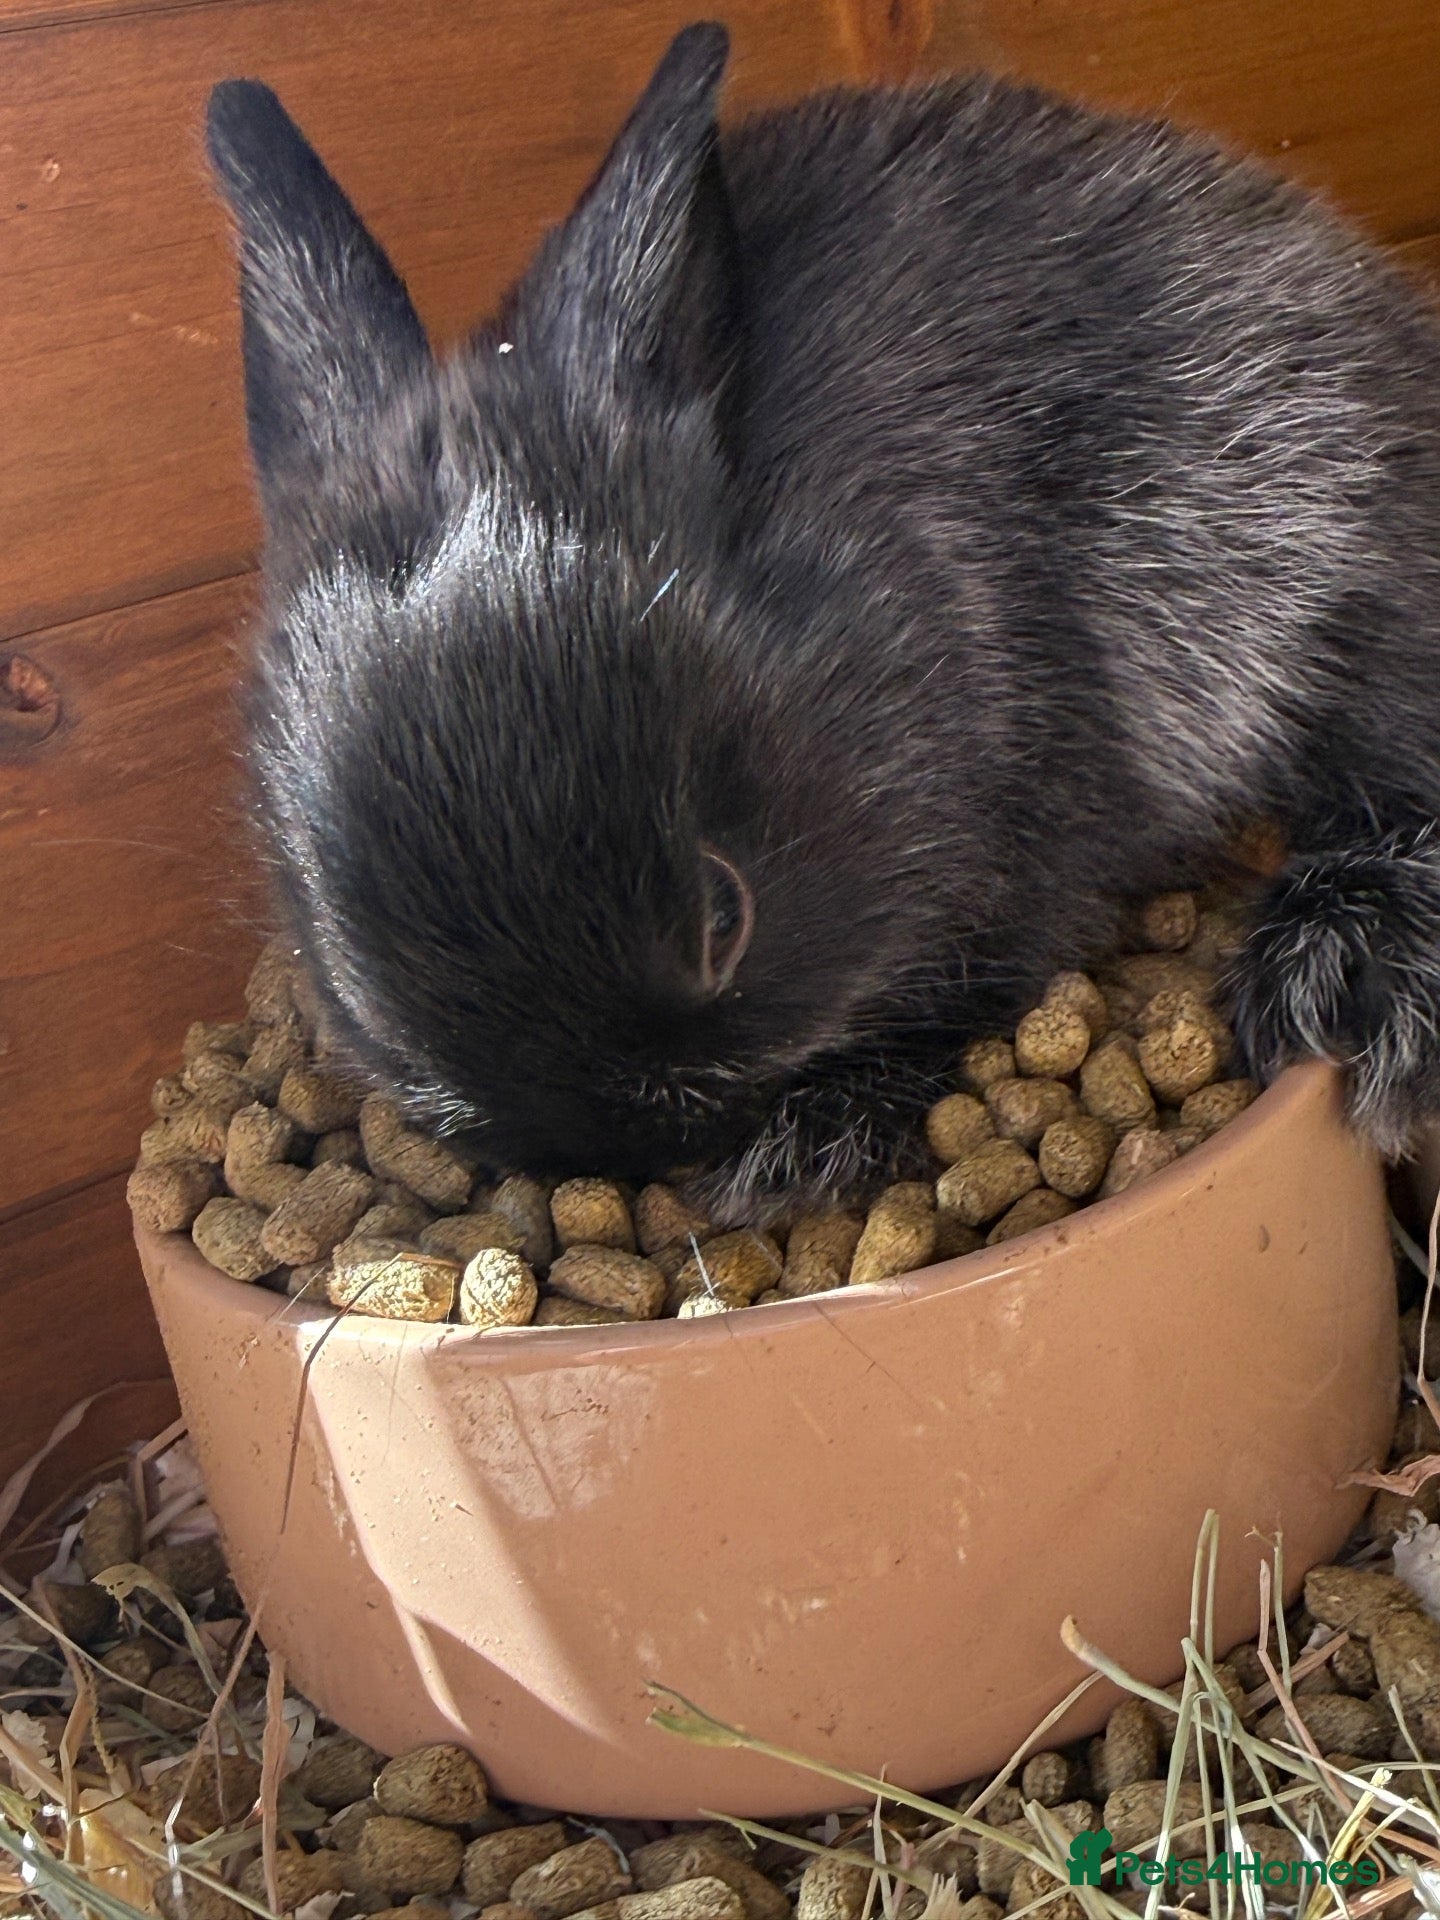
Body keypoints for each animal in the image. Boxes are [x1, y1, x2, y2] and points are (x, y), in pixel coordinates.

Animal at [204, 22, 1440, 1219]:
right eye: (350, 982)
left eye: (725, 915)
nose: (640, 1152)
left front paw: (804, 1150)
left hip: (1340, 558)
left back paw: (1350, 971)